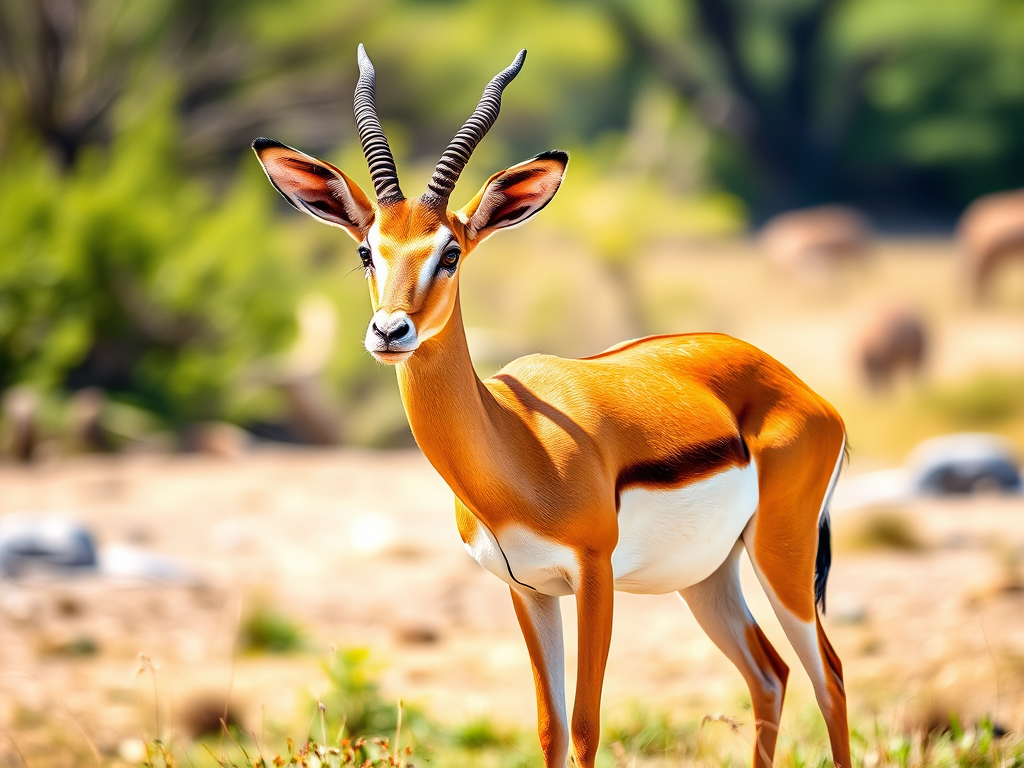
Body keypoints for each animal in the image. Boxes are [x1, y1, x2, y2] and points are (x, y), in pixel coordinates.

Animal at [253, 47, 850, 768]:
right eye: (368, 250)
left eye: (450, 253)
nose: (390, 331)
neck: (518, 446)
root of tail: (799, 387)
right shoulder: (526, 589)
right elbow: (550, 726)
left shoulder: (594, 578)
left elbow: (587, 725)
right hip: (708, 575)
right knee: (770, 673)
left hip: (782, 555)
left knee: (829, 677)